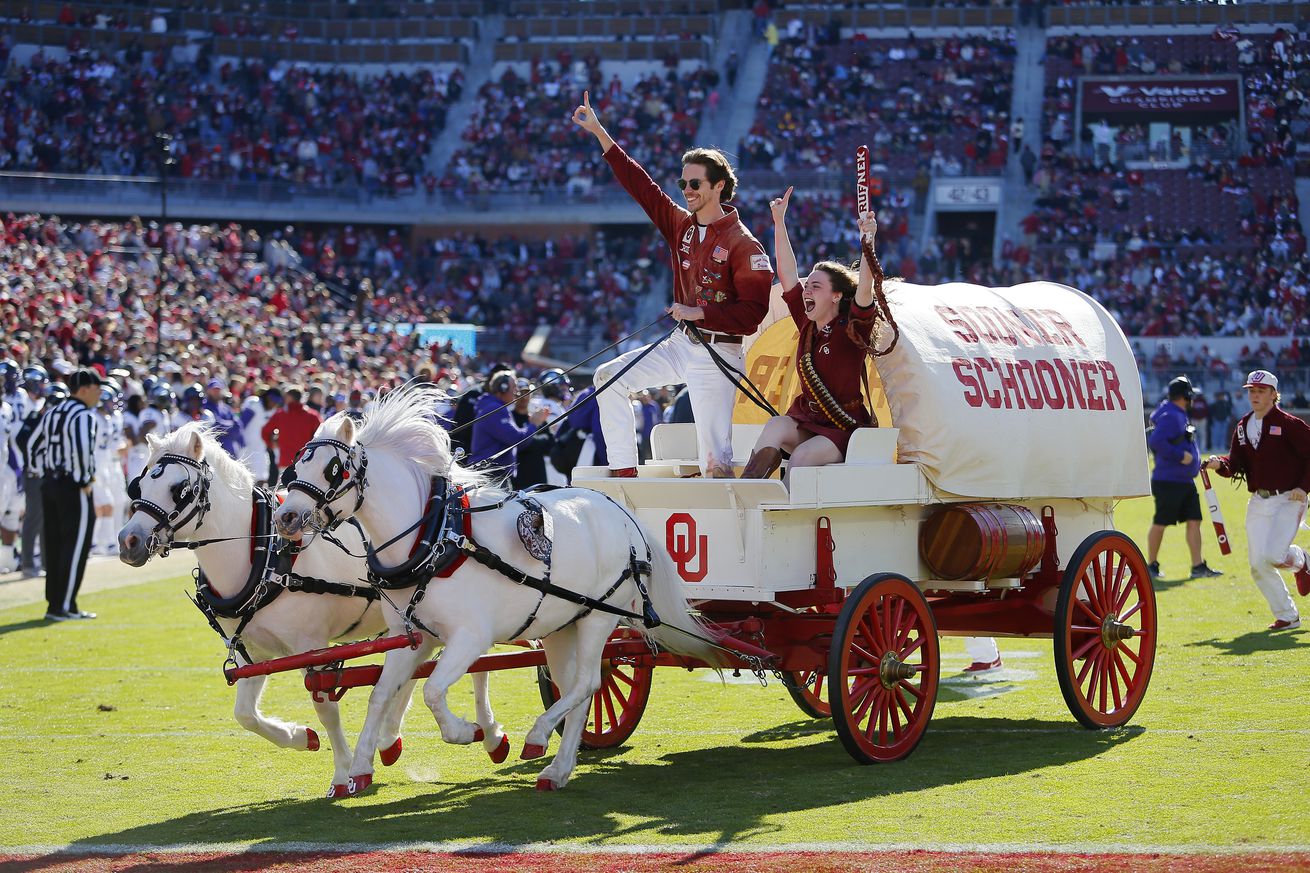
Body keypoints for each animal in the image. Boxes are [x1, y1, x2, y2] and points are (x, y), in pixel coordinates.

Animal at [117, 422, 434, 796]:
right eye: (139, 484)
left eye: (179, 488)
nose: (128, 541)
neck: (265, 553)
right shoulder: (251, 652)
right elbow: (244, 714)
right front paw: (300, 737)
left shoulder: (312, 647)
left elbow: (326, 710)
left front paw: (343, 774)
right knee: (411, 668)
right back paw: (388, 740)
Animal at [277, 385, 728, 791]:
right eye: (295, 468)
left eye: (333, 469)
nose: (285, 517)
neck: (435, 538)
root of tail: (623, 512)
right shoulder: (414, 637)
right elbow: (381, 694)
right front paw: (359, 769)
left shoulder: (470, 637)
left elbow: (433, 691)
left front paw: (470, 732)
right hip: (564, 624)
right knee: (580, 689)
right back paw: (558, 769)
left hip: (600, 615)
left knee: (587, 683)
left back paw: (538, 736)